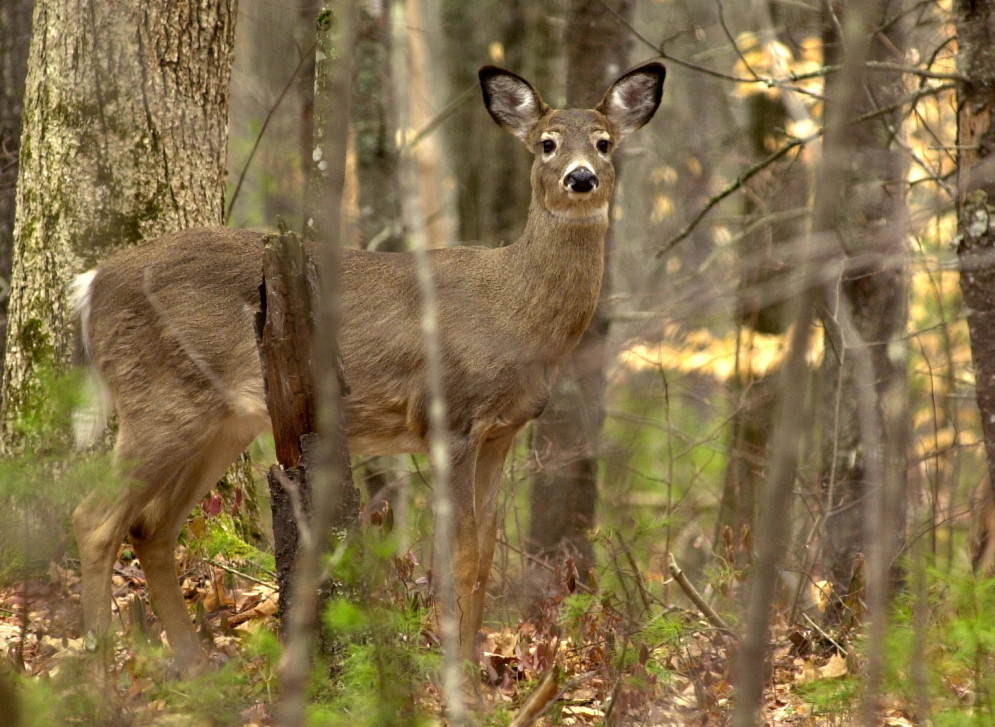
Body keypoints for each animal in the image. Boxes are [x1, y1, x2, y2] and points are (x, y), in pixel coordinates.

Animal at [71, 61, 665, 673]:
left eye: (604, 143)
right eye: (547, 143)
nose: (581, 178)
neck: (514, 311)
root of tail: (90, 285)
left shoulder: (503, 431)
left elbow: (483, 557)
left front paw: (476, 671)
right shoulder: (451, 417)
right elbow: (458, 556)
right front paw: (460, 677)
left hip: (222, 419)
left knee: (150, 527)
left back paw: (194, 670)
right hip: (159, 400)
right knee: (94, 519)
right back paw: (100, 672)